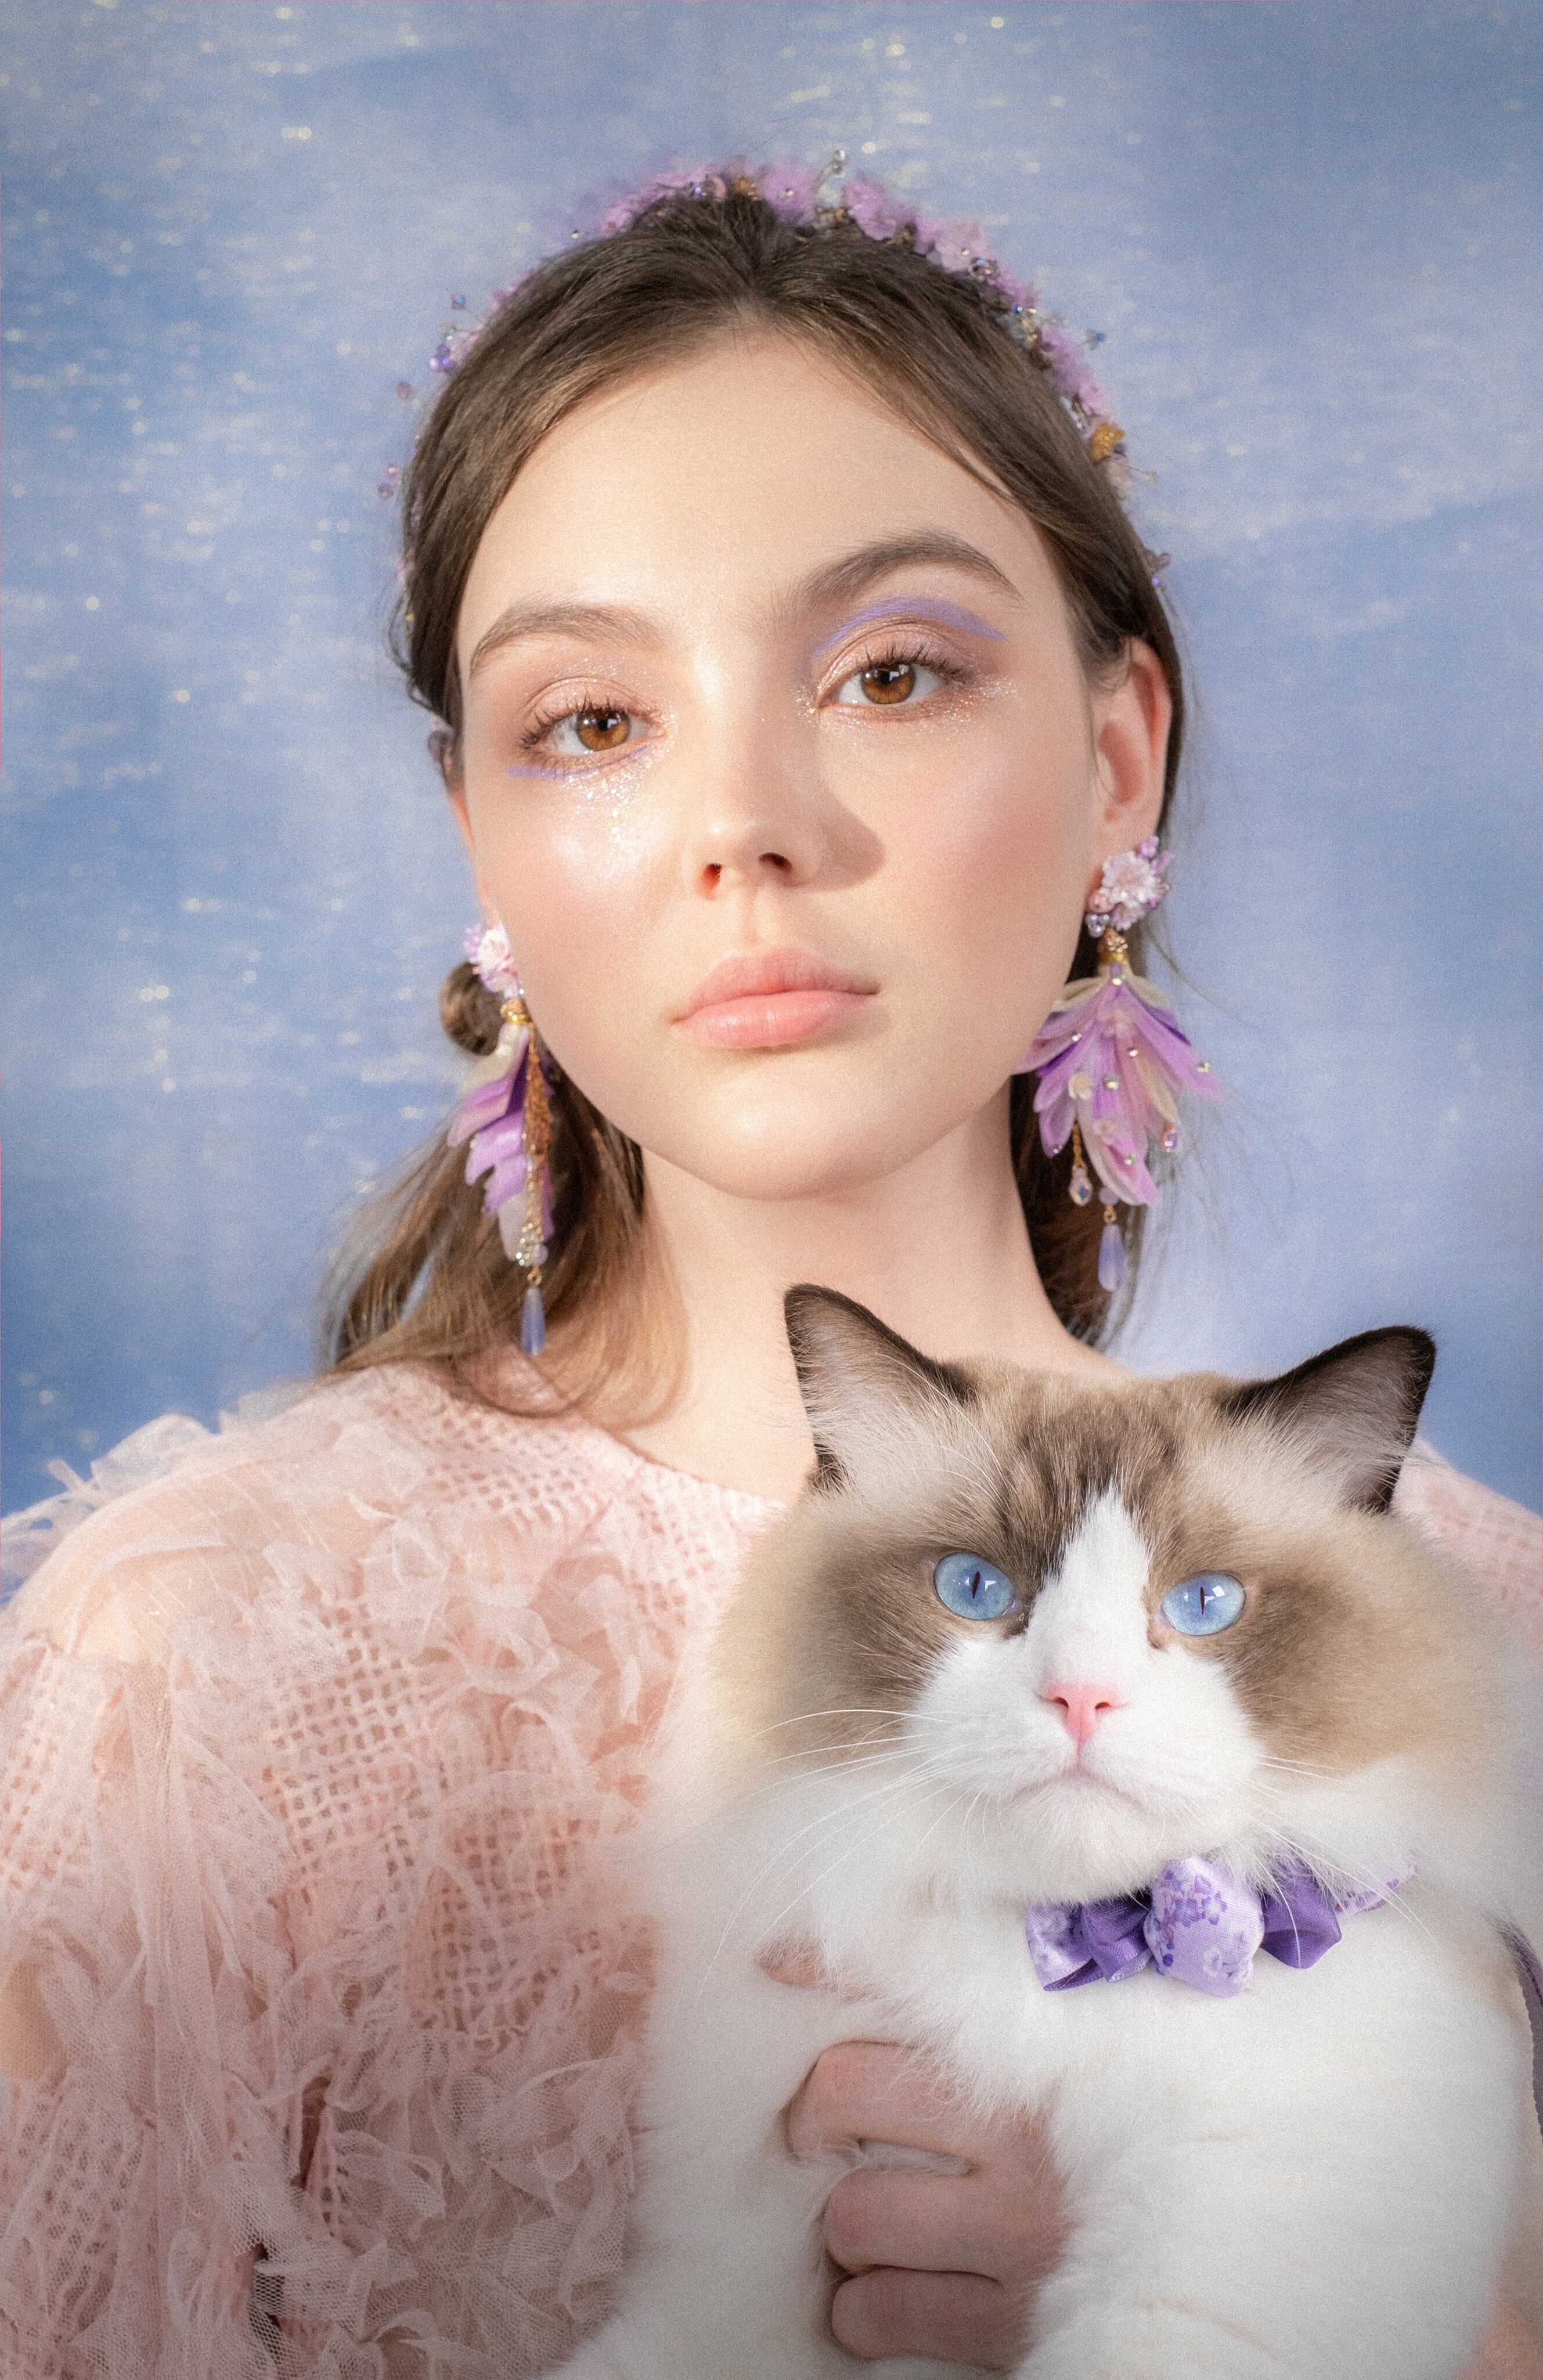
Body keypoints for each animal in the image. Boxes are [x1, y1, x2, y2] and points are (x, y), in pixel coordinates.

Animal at [547, 1288, 1542, 2380]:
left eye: (1205, 1603)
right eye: (974, 1589)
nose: (1080, 1698)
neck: (1047, 1972)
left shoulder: (1215, 2276)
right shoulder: (734, 2281)